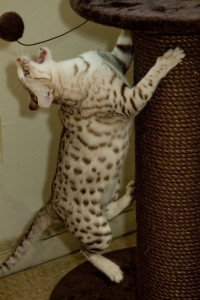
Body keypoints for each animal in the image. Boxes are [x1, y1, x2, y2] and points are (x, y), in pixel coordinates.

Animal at [0, 31, 184, 282]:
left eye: (24, 74)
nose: (18, 60)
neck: (74, 68)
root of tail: (51, 204)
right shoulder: (128, 101)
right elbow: (149, 80)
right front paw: (169, 58)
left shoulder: (117, 58)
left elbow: (124, 41)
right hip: (96, 230)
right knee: (85, 251)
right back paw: (112, 270)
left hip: (110, 190)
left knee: (108, 211)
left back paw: (131, 193)